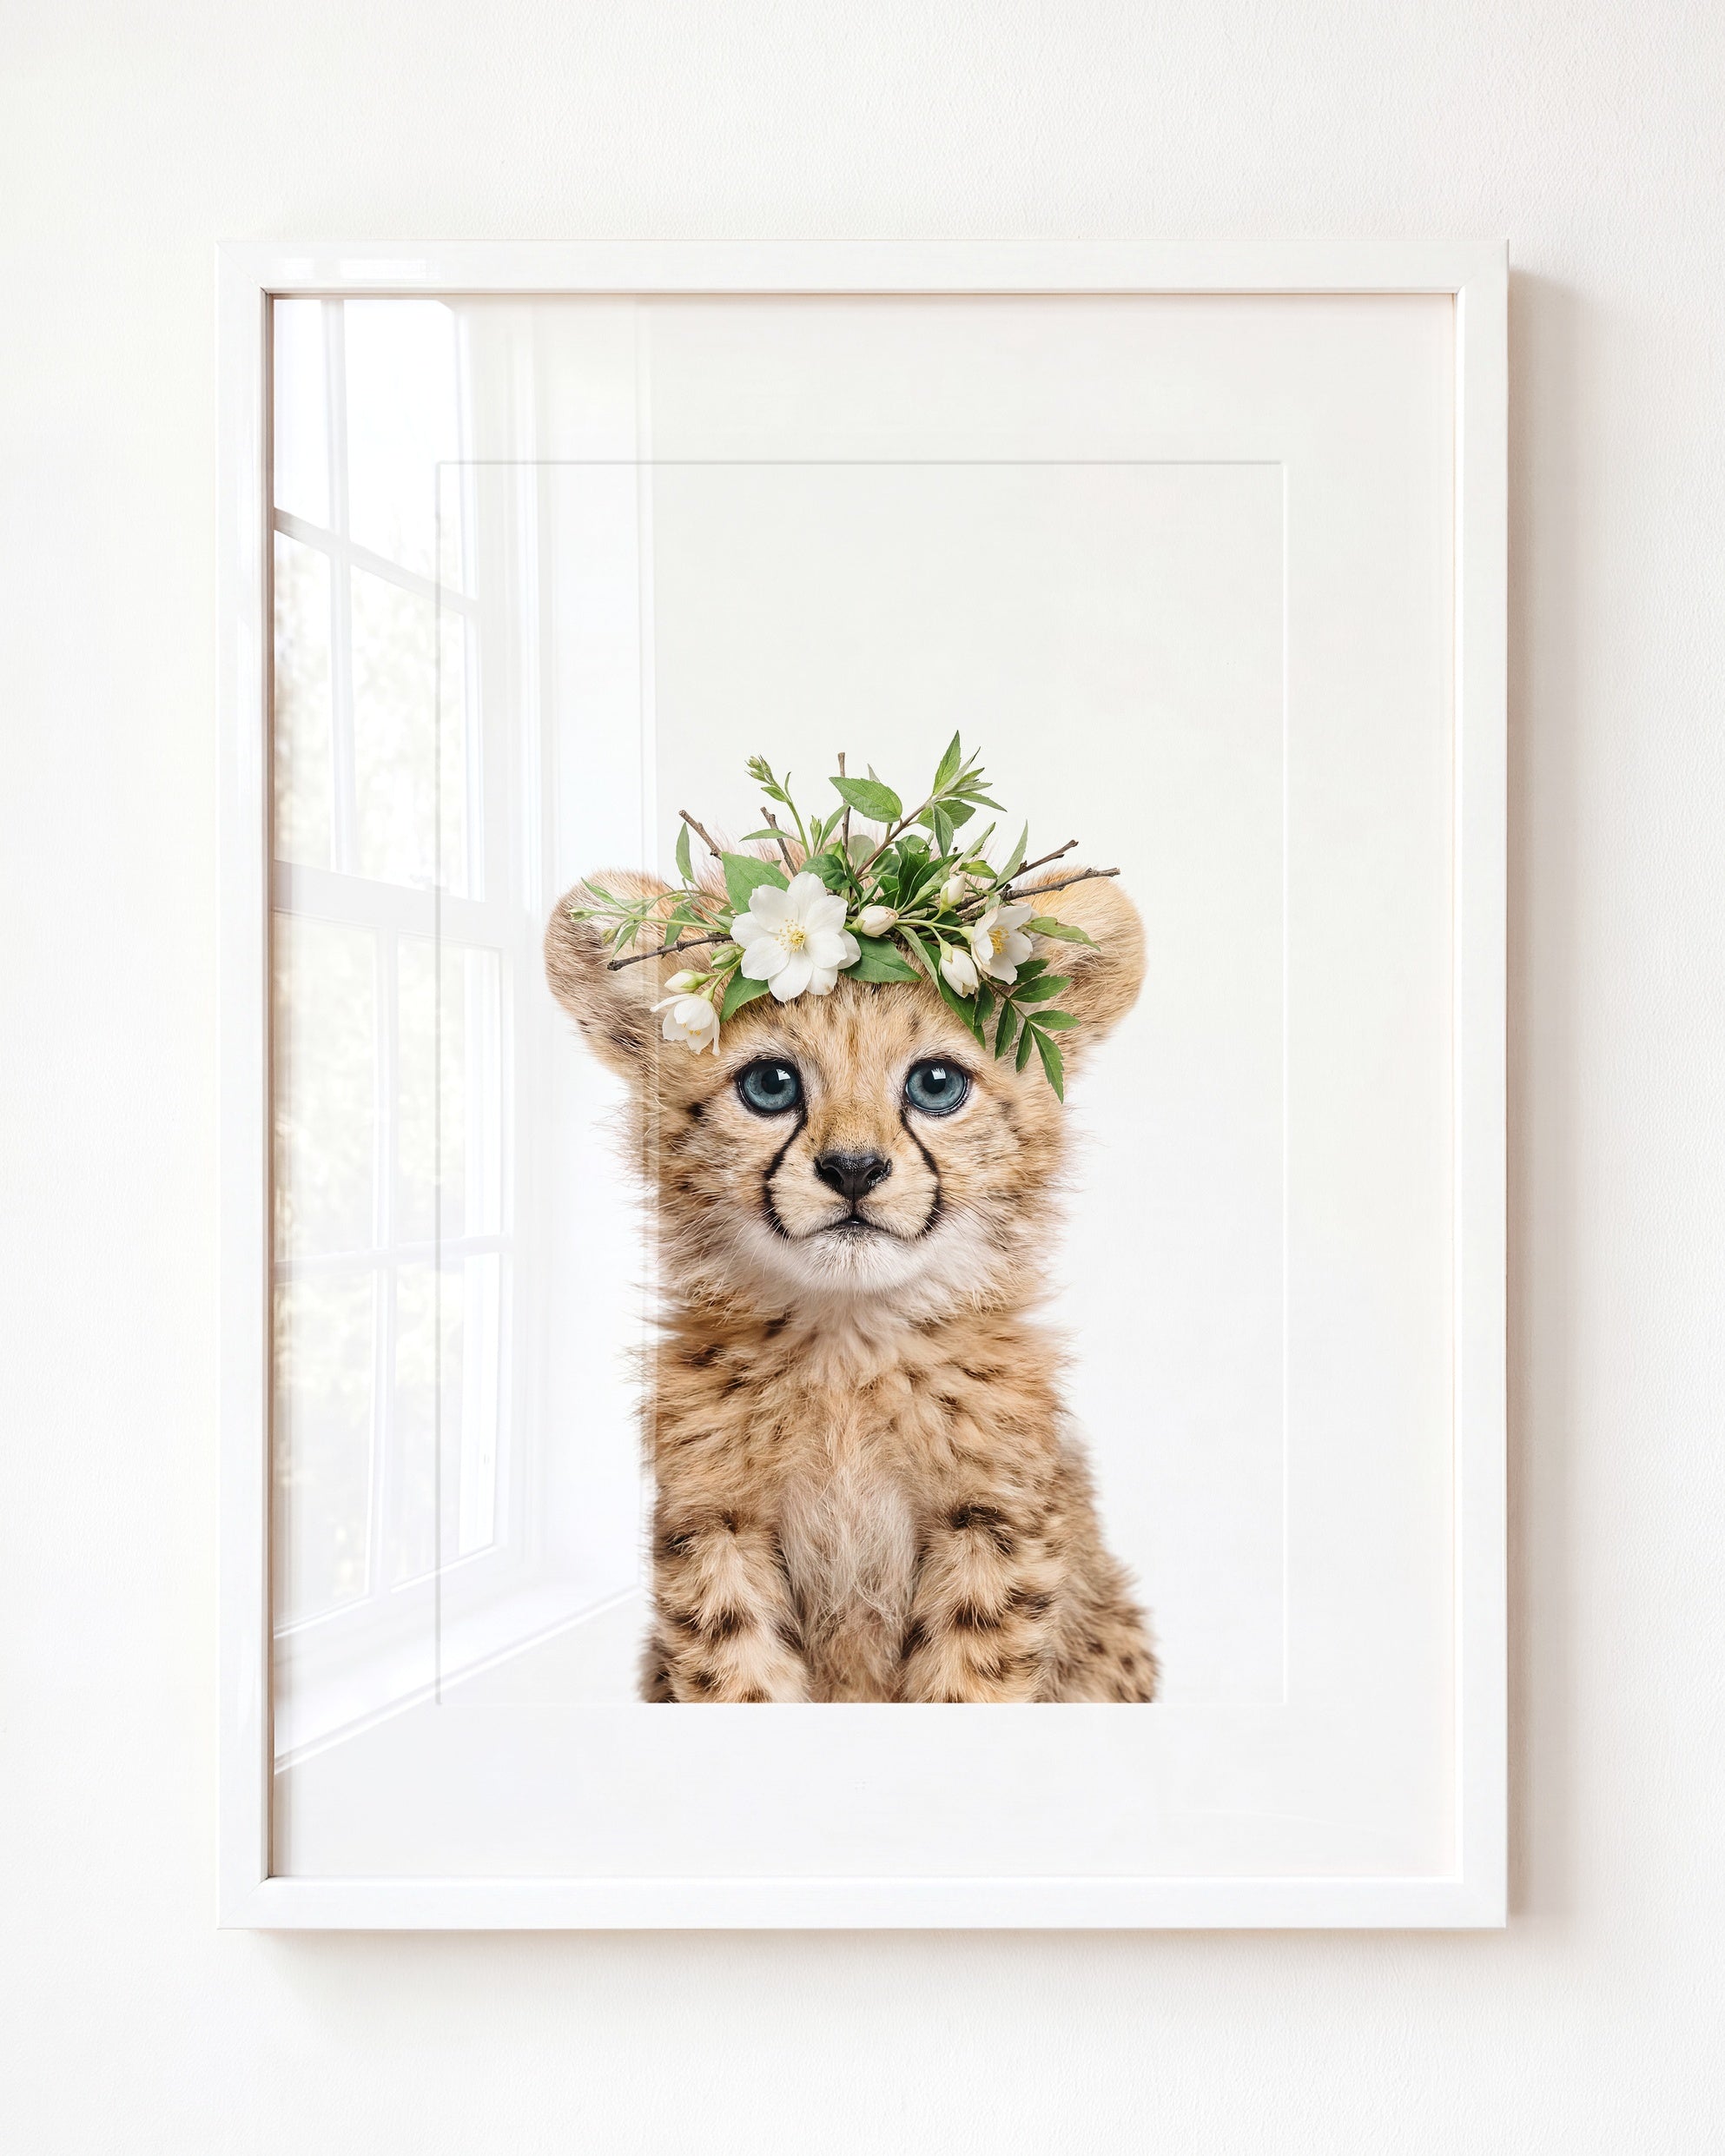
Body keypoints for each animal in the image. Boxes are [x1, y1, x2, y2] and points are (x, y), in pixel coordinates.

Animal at [543, 864, 1158, 1703]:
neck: (848, 1345)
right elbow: (739, 1677)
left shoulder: (992, 1526)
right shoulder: (716, 1526)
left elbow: (971, 1681)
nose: (855, 1169)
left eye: (936, 1084)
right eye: (771, 1084)